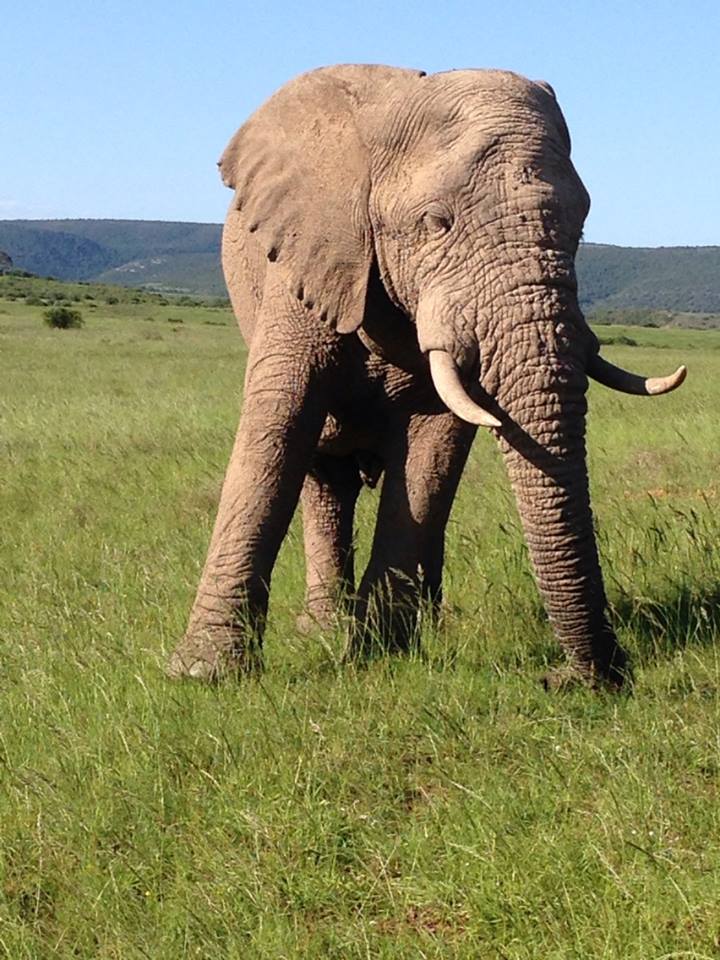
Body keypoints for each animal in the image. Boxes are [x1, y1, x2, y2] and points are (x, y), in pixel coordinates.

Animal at [167, 64, 686, 687]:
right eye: (436, 223)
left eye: (580, 229)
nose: (573, 678)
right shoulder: (307, 261)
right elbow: (277, 427)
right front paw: (201, 673)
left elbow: (433, 446)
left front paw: (386, 650)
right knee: (323, 475)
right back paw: (323, 629)